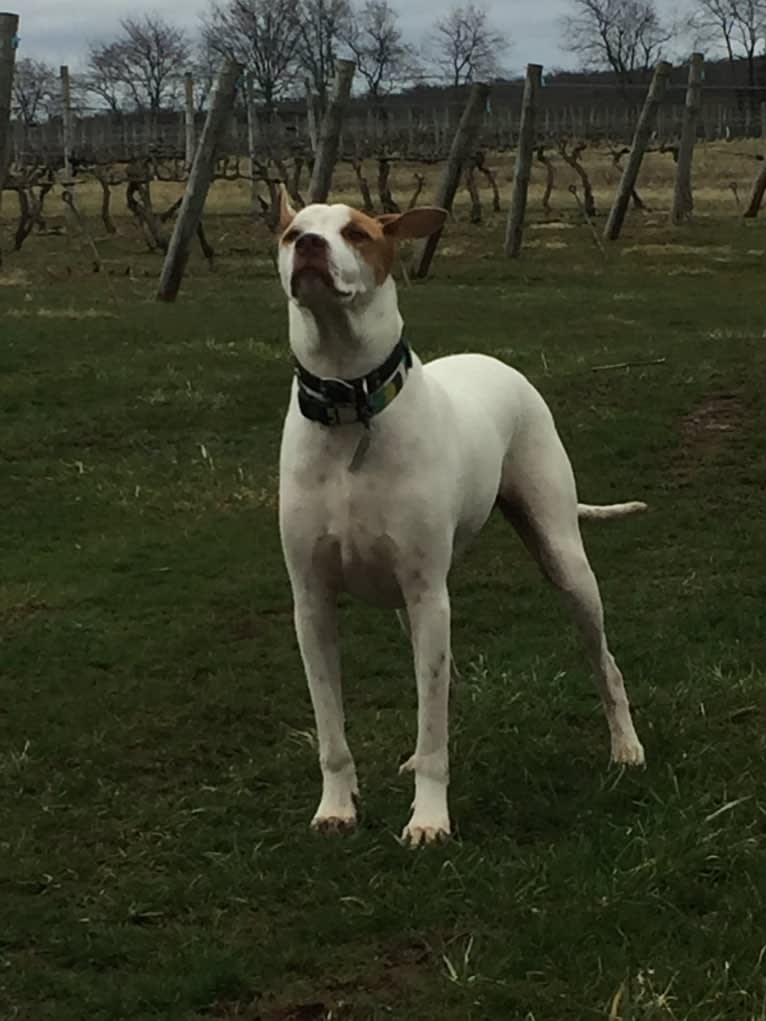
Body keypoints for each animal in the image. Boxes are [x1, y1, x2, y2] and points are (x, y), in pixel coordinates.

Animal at [277, 191, 649, 845]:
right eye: (292, 232)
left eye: (356, 232)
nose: (311, 247)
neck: (351, 407)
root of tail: (494, 361)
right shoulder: (313, 603)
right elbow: (334, 732)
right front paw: (337, 807)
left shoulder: (430, 596)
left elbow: (433, 725)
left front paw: (429, 818)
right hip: (411, 607)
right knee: (440, 688)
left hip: (564, 561)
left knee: (604, 662)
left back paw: (625, 747)